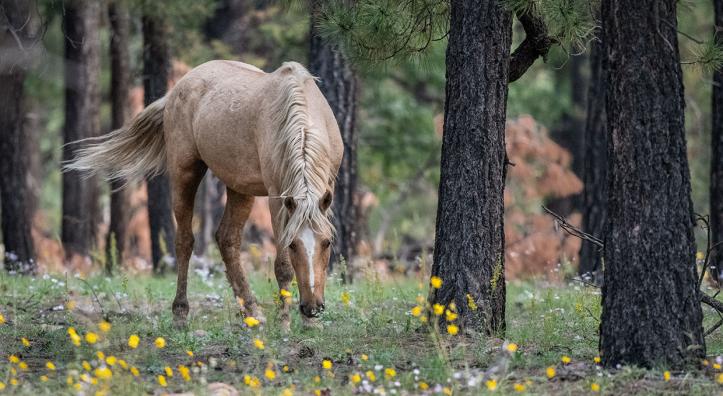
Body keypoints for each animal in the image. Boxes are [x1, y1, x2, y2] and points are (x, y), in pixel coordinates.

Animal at [66, 60, 344, 330]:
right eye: (294, 244)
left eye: (328, 242)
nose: (311, 307)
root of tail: (175, 91)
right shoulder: (278, 197)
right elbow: (283, 266)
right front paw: (285, 323)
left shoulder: (325, 190)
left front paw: (309, 324)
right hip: (185, 173)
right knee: (185, 241)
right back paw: (181, 313)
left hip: (239, 187)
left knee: (227, 239)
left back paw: (252, 313)